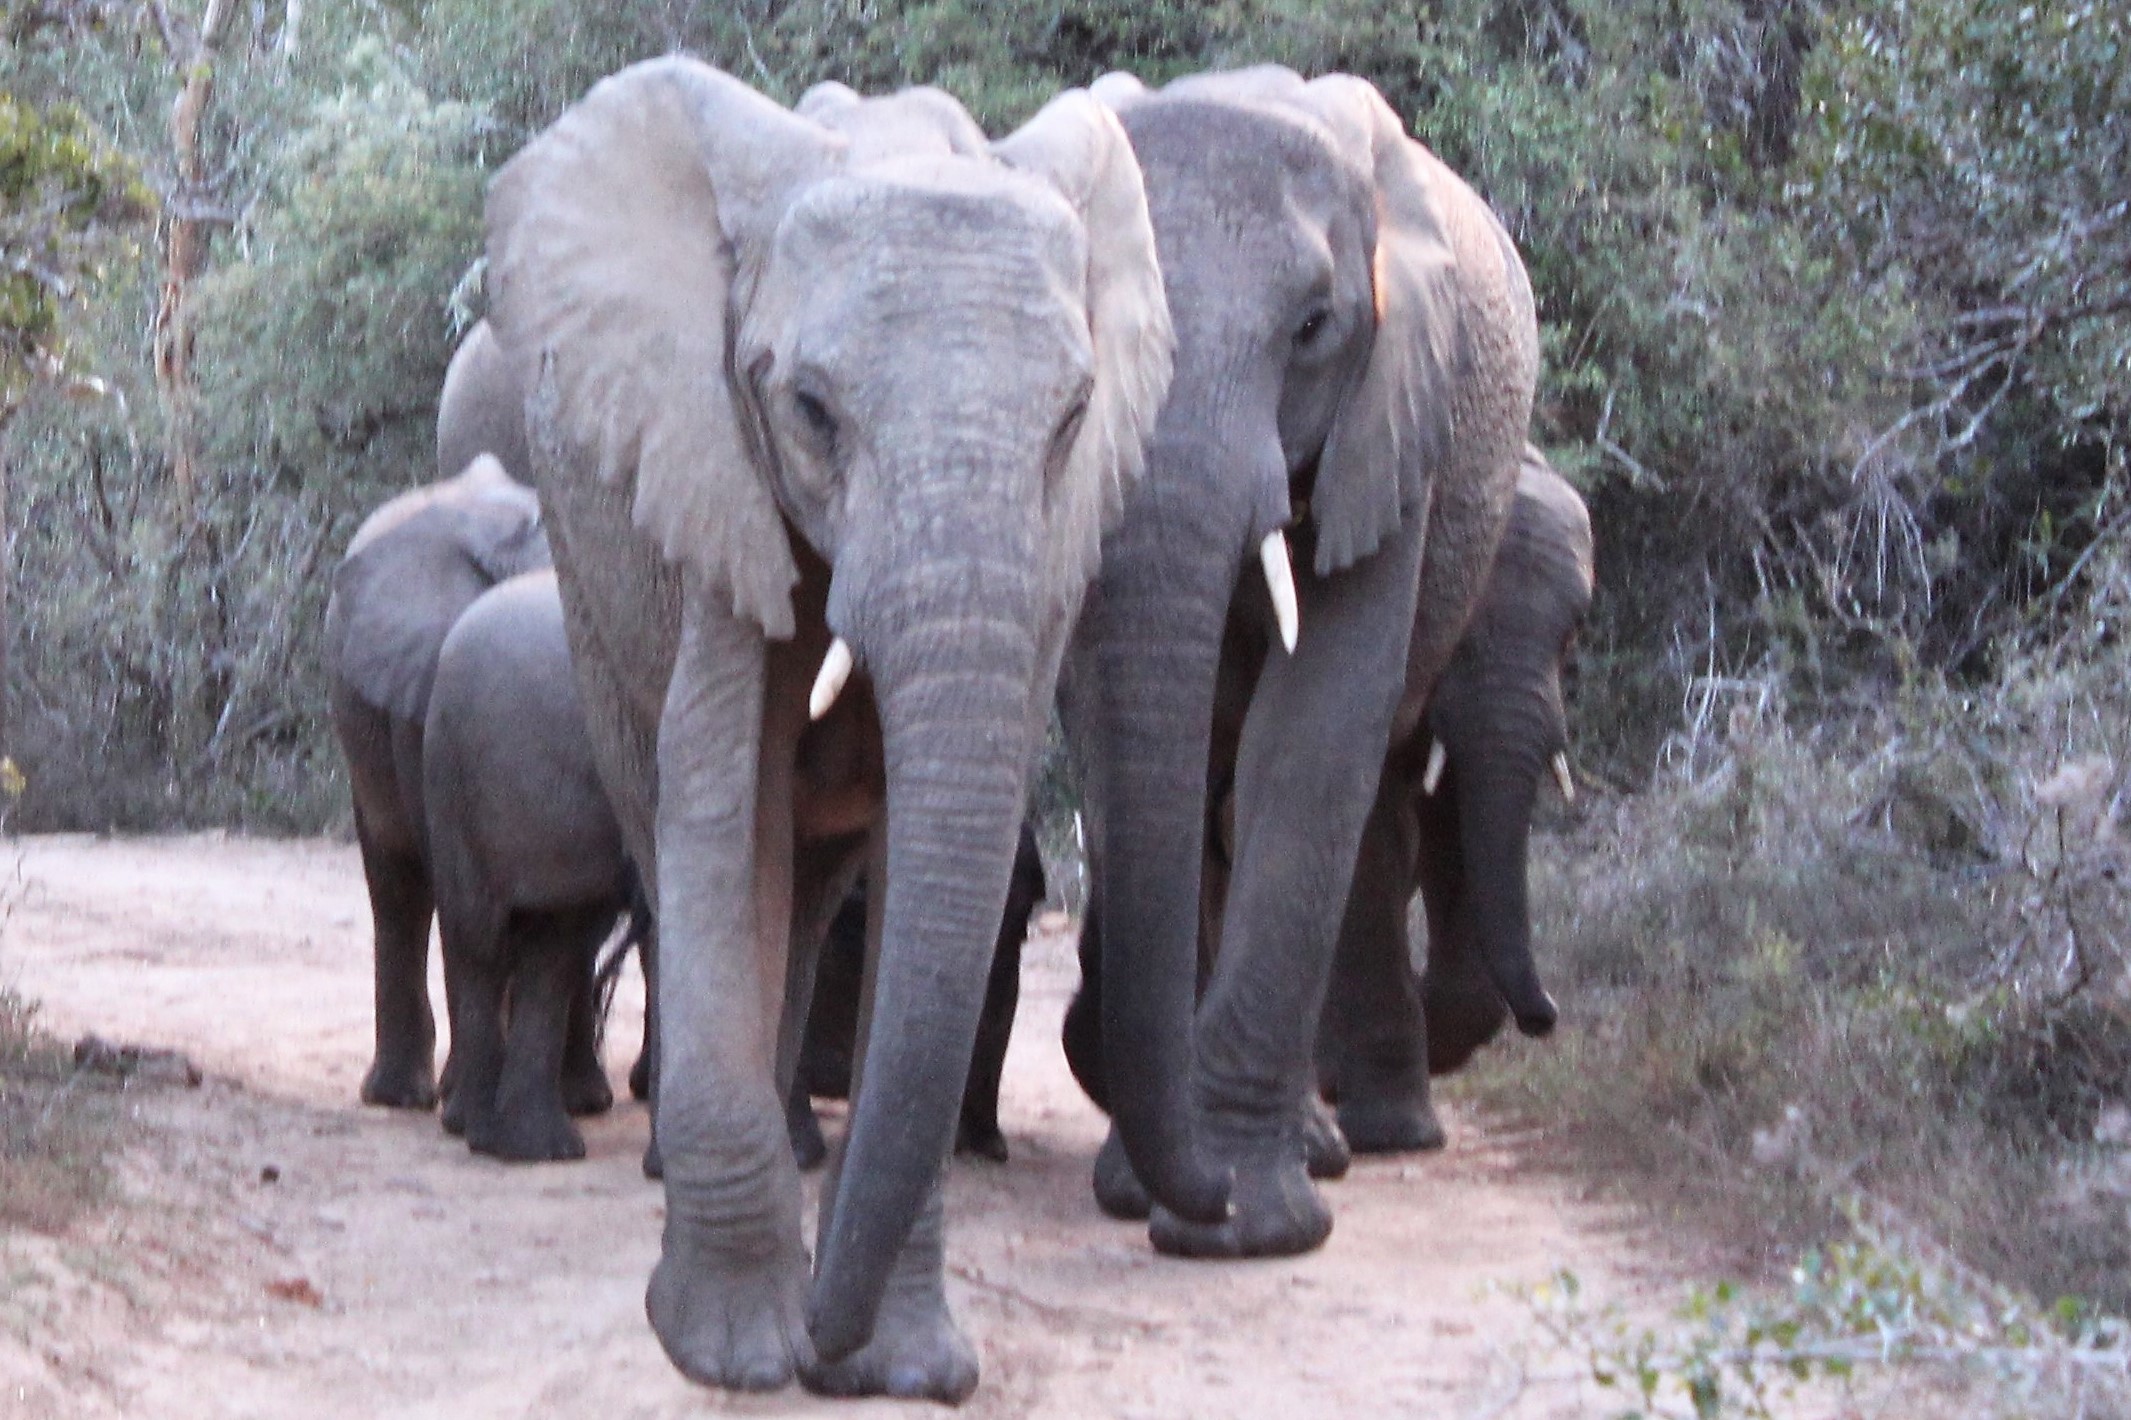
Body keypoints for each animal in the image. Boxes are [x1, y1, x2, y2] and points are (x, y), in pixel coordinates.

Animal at [475, 63, 1193, 1390]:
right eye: (809, 408)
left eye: (1074, 415)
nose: (823, 1339)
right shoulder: (714, 480)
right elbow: (721, 800)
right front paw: (732, 1354)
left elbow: (934, 857)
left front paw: (903, 1371)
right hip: (591, 581)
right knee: (675, 838)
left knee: (808, 899)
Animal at [1061, 69, 1534, 1253]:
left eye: (1314, 329)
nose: (1197, 1196)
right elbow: (1120, 741)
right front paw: (1146, 1195)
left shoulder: (1396, 417)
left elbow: (1311, 735)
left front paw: (1243, 1229)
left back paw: (1350, 1140)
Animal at [1312, 443, 1602, 1151]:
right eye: (1457, 626)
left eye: (1574, 628)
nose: (1548, 1015)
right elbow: (1374, 841)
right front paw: (1396, 1131)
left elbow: (1459, 839)